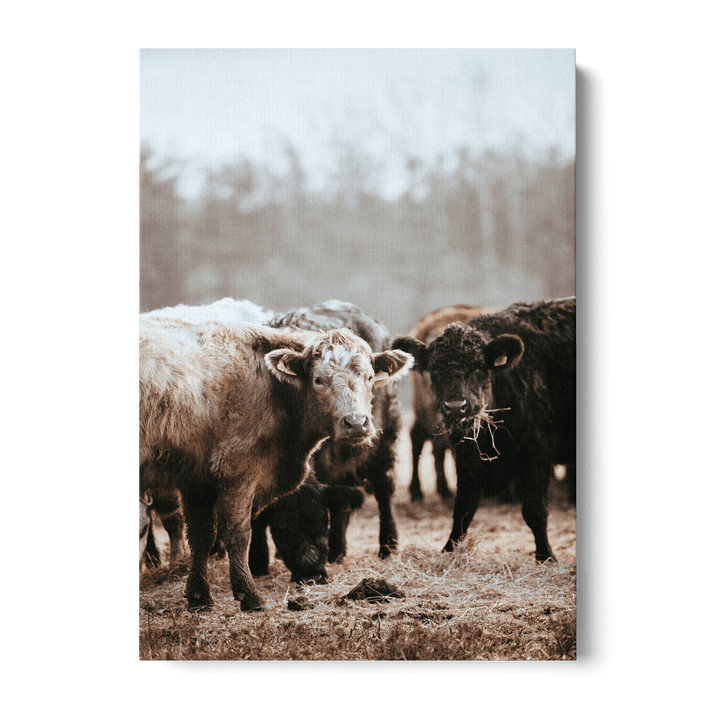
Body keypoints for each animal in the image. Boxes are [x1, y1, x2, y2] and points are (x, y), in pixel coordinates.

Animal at [139, 313, 413, 610]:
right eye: (318, 380)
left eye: (370, 377)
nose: (356, 423)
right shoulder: (239, 470)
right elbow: (237, 533)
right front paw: (250, 595)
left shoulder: (197, 477)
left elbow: (201, 535)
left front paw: (199, 596)